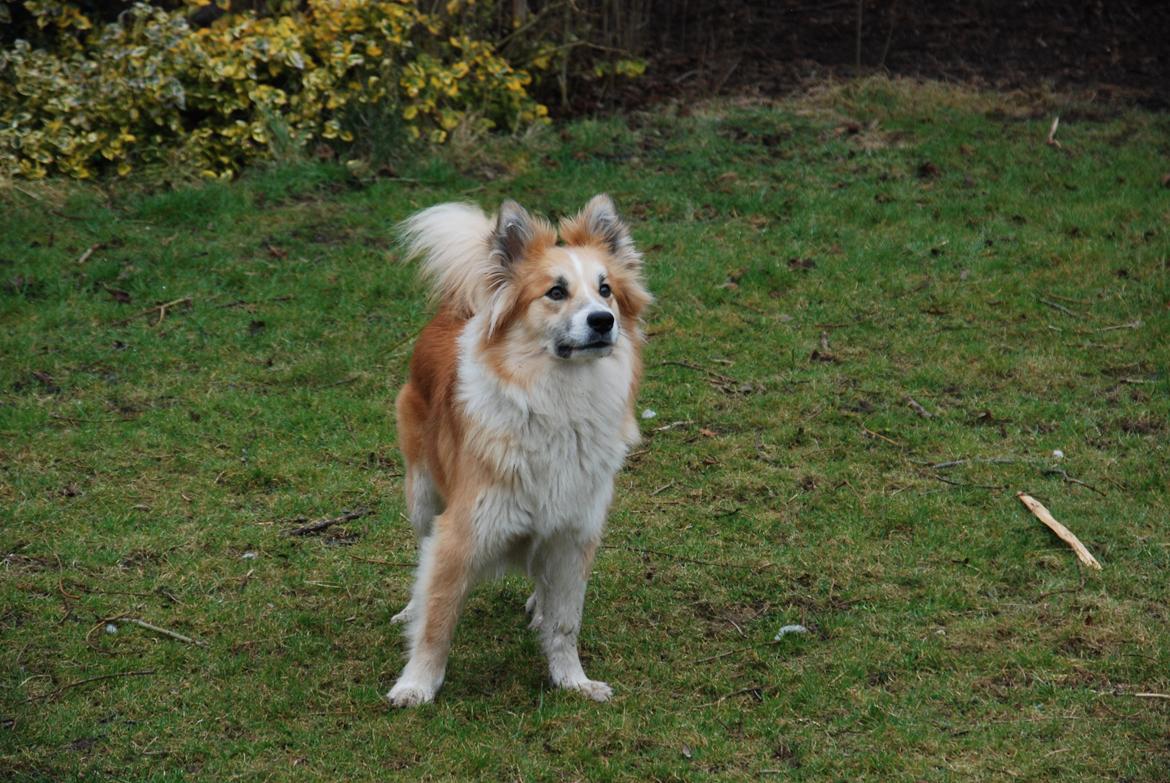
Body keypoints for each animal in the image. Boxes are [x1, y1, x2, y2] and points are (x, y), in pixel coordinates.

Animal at [388, 195, 655, 706]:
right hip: (422, 493)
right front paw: (416, 685)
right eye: (555, 292)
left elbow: (566, 623)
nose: (603, 320)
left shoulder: (573, 533)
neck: (558, 402)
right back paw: (410, 607)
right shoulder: (461, 531)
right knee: (421, 553)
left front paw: (572, 680)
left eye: (606, 290)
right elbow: (436, 621)